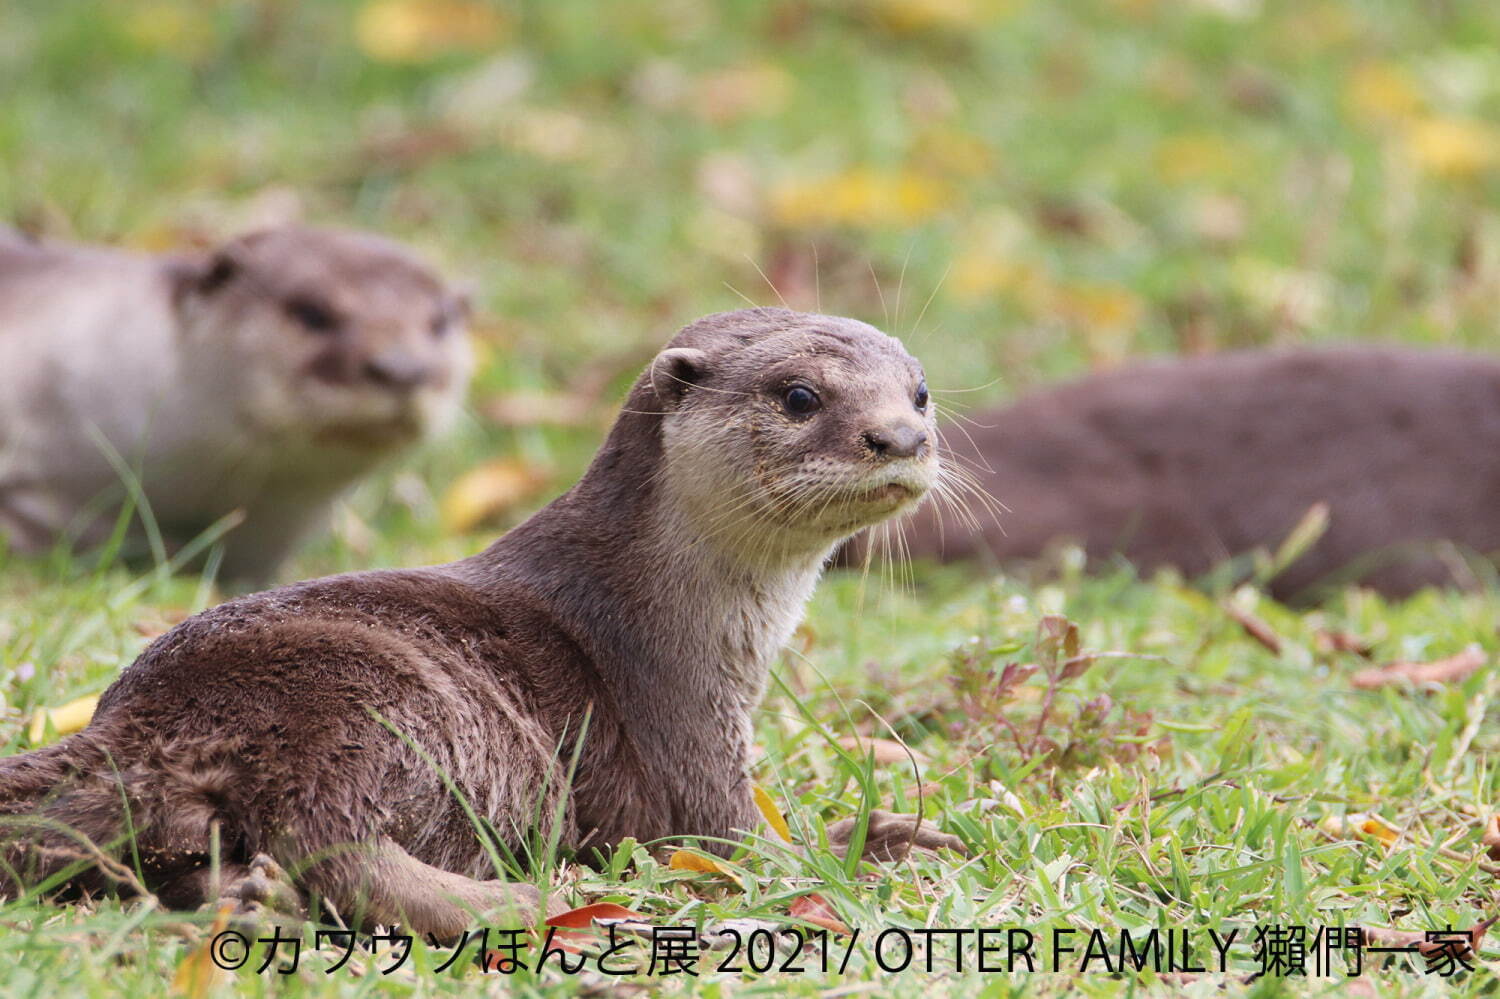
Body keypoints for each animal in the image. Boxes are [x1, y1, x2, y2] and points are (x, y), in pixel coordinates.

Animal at [0, 312, 960, 942]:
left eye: (920, 392)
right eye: (799, 395)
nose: (900, 436)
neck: (653, 611)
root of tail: (146, 716)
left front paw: (894, 829)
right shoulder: (684, 726)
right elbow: (740, 844)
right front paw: (871, 847)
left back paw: (251, 900)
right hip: (363, 695)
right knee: (332, 842)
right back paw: (534, 902)